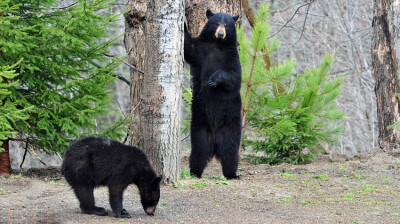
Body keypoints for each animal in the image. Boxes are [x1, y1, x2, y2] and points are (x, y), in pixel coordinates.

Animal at [184, 9, 241, 179]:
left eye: (227, 25)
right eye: (216, 23)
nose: (221, 34)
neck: (217, 44)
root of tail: (215, 142)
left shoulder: (232, 56)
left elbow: (234, 76)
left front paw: (214, 79)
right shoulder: (200, 49)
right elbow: (189, 48)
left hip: (231, 128)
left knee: (230, 153)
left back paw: (232, 174)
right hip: (199, 129)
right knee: (198, 153)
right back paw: (195, 172)